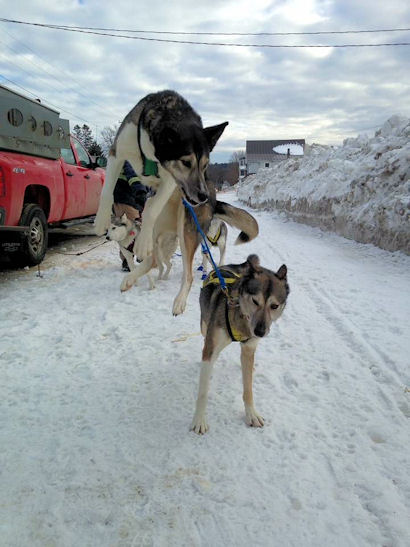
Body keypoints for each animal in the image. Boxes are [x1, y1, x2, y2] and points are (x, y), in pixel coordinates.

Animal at [95, 90, 229, 264]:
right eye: (186, 162)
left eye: (205, 164)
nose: (203, 196)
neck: (151, 155)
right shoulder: (116, 153)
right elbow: (106, 191)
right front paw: (101, 220)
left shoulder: (170, 180)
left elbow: (152, 210)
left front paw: (143, 242)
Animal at [191, 255, 288, 434]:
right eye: (255, 301)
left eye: (274, 306)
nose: (260, 331)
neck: (241, 315)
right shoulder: (211, 347)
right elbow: (203, 391)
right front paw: (199, 419)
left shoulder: (249, 348)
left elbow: (248, 389)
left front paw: (251, 414)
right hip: (204, 327)